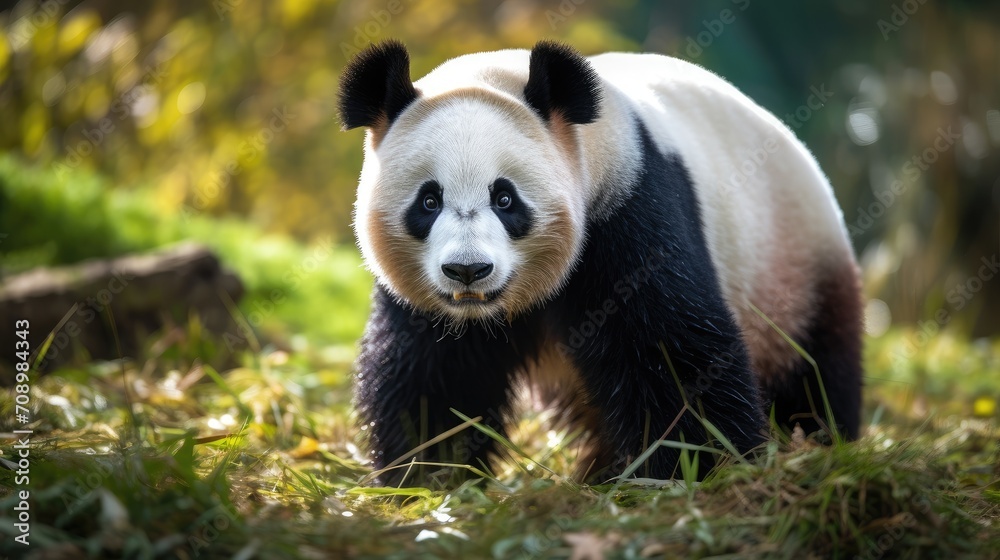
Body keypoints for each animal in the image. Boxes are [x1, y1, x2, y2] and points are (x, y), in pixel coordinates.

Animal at [339, 40, 862, 485]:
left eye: (504, 198)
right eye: (429, 202)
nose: (468, 271)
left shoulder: (628, 207)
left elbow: (669, 353)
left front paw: (696, 469)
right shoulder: (429, 305)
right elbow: (435, 376)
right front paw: (430, 475)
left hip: (792, 265)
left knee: (814, 373)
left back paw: (821, 443)